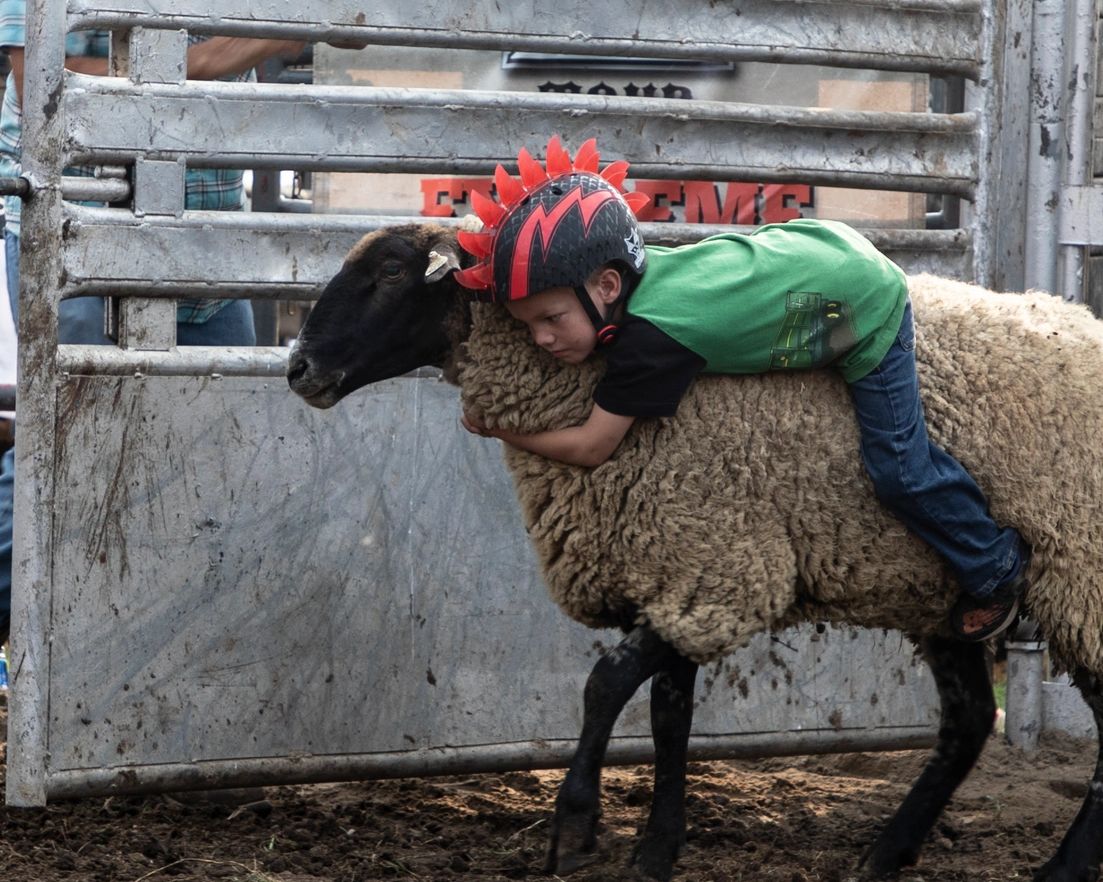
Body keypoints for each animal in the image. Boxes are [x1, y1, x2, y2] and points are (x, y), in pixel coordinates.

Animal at [286, 222, 1103, 882]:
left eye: (393, 271)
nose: (298, 370)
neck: (589, 368)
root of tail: (1081, 318)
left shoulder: (724, 569)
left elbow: (606, 685)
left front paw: (575, 827)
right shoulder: (671, 568)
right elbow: (666, 715)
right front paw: (656, 850)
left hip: (1081, 574)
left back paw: (1060, 867)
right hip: (943, 594)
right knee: (969, 720)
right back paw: (885, 852)